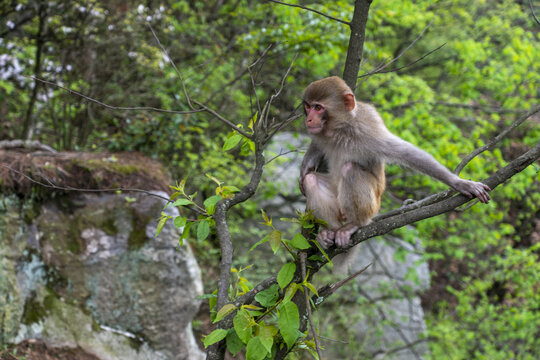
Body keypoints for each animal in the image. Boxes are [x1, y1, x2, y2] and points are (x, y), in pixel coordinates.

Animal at [302, 76, 492, 256]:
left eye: (318, 108)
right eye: (308, 106)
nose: (308, 119)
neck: (340, 129)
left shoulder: (368, 129)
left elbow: (405, 152)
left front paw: (460, 183)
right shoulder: (322, 134)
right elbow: (314, 151)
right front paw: (305, 167)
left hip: (373, 205)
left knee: (350, 169)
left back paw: (354, 224)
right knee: (311, 180)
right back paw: (329, 231)